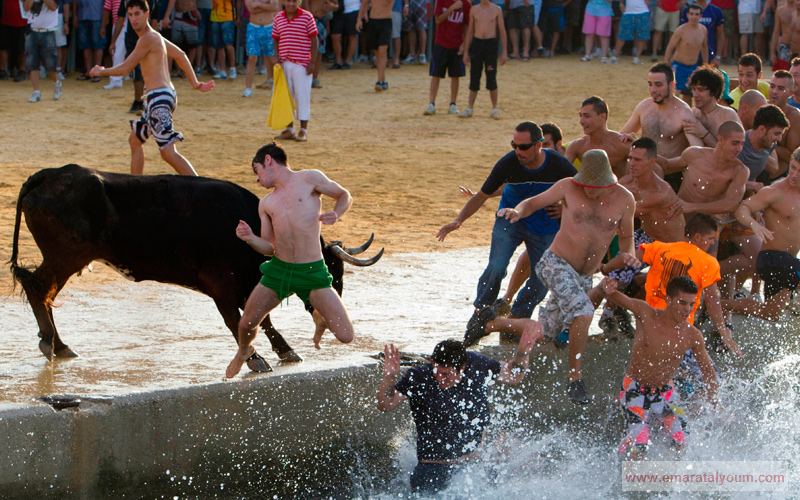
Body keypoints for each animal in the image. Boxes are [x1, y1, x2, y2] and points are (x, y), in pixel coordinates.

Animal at [8, 164, 384, 372]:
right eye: (334, 272)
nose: (333, 312)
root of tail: (50, 175)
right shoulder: (220, 285)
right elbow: (239, 321)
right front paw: (256, 359)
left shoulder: (244, 284)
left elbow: (260, 319)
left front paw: (285, 350)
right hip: (65, 257)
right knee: (39, 288)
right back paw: (53, 344)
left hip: (66, 259)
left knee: (42, 292)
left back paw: (57, 344)